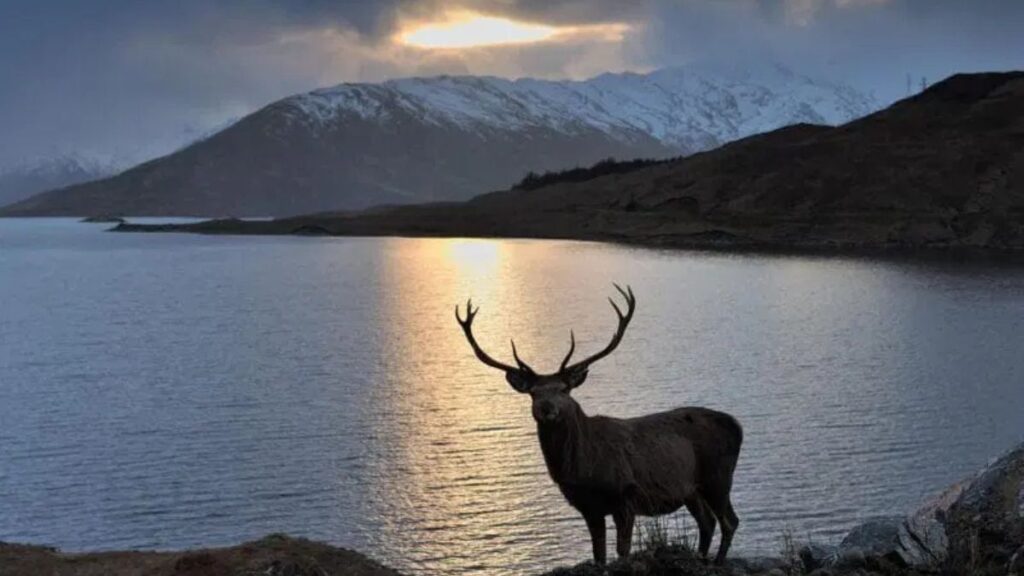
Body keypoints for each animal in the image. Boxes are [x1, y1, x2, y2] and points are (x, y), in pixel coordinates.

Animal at [455, 285, 743, 566]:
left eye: (564, 389)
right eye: (533, 393)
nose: (547, 409)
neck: (583, 468)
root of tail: (737, 425)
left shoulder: (626, 496)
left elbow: (622, 552)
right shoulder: (588, 507)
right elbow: (599, 556)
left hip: (718, 476)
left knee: (730, 521)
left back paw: (717, 562)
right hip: (692, 491)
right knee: (708, 522)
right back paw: (702, 558)